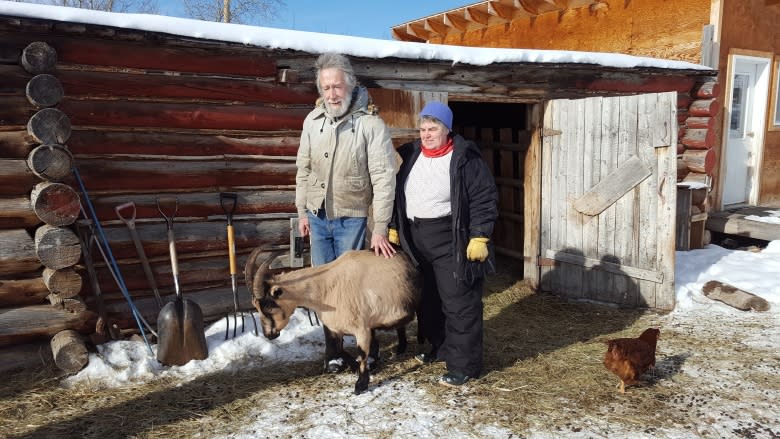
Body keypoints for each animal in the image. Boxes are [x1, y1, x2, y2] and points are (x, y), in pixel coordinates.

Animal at [248, 248, 420, 396]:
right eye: (256, 306)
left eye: (269, 305)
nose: (269, 335)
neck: (326, 288)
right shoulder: (336, 328)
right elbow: (338, 350)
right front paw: (354, 367)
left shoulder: (362, 328)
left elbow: (362, 353)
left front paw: (361, 385)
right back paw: (399, 349)